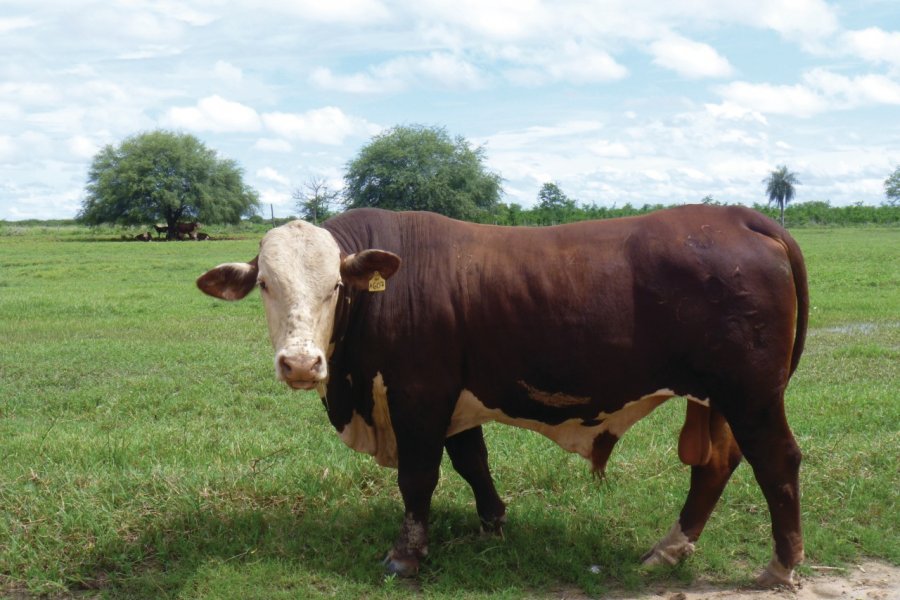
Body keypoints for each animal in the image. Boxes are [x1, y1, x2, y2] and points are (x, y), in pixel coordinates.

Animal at [197, 206, 808, 584]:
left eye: (335, 287)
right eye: (267, 284)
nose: (301, 363)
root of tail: (737, 215)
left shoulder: (420, 395)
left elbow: (418, 477)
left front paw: (405, 555)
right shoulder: (454, 400)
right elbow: (473, 460)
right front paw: (493, 522)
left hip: (751, 394)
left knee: (776, 461)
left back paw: (781, 566)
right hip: (716, 398)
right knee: (715, 464)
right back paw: (669, 549)